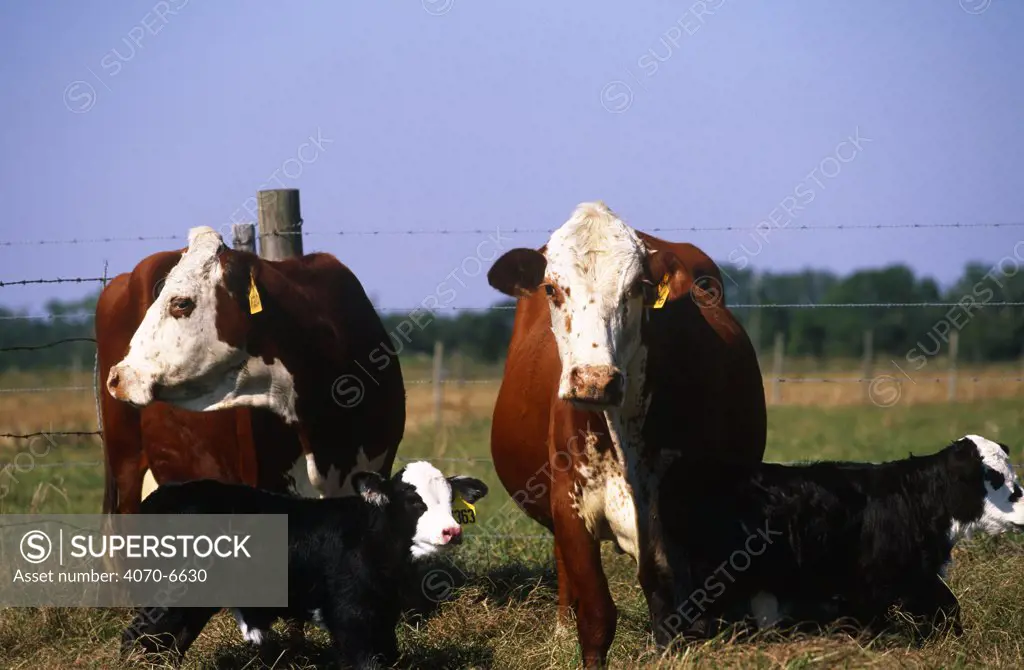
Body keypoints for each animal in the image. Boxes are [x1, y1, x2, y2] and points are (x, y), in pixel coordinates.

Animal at [121, 465, 489, 667]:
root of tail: (161, 496)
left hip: (193, 603)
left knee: (169, 647)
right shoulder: (350, 618)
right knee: (135, 640)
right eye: (413, 500)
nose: (452, 531)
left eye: (450, 500)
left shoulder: (383, 617)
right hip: (166, 596)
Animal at [487, 201, 770, 667]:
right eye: (552, 288)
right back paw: (561, 630)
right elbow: (597, 615)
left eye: (637, 287)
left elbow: (672, 613)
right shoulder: (571, 505)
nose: (594, 381)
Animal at [655, 436, 1024, 639]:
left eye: (1012, 474)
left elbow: (948, 610)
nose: (1023, 506)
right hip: (707, 584)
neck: (915, 498)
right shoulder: (873, 585)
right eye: (993, 477)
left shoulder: (917, 577)